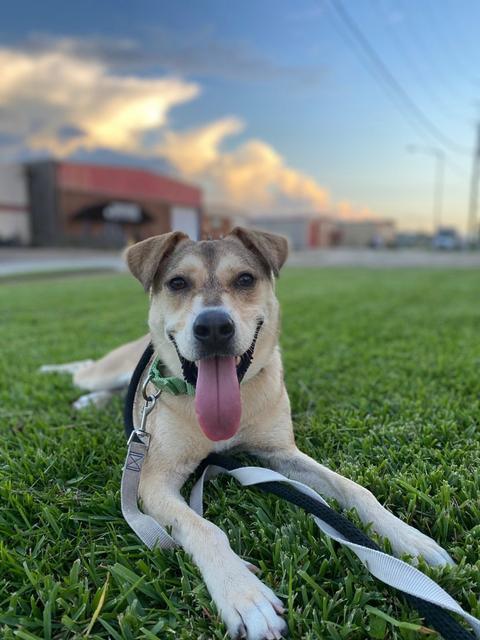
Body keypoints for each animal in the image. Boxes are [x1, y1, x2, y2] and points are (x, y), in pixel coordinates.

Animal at [42, 228, 454, 640]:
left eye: (244, 279)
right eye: (177, 283)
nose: (213, 327)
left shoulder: (281, 453)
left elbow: (355, 489)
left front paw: (410, 540)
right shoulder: (153, 481)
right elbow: (204, 528)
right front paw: (244, 595)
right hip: (105, 373)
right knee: (88, 371)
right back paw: (65, 381)